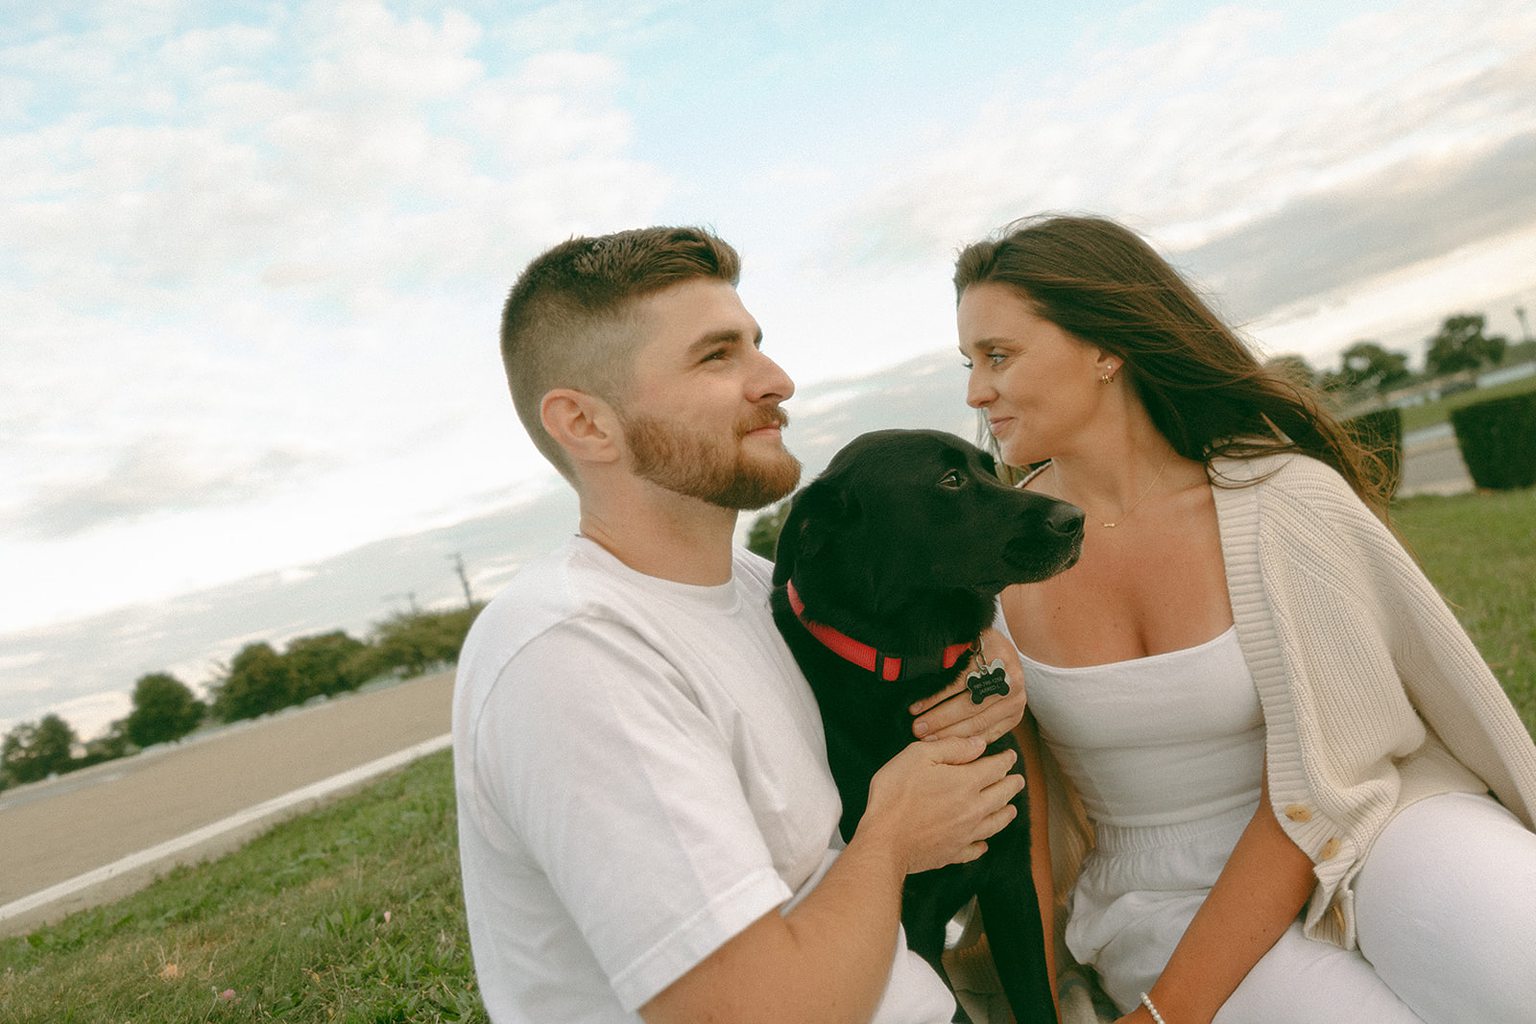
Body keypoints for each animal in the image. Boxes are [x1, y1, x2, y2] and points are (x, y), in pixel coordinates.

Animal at [774, 429, 1087, 1024]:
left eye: (987, 467)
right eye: (950, 480)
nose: (1077, 517)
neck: (908, 669)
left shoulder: (1011, 878)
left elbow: (1037, 999)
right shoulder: (911, 933)